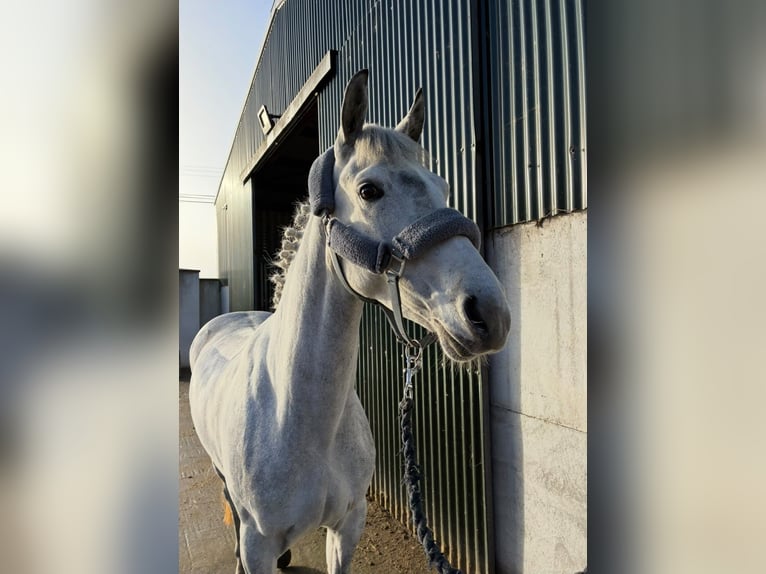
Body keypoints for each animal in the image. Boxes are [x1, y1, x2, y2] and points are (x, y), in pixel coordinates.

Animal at [189, 69, 511, 574]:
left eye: (442, 187)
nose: (489, 314)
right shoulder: (259, 544)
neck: (300, 419)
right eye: (368, 190)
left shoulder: (348, 524)